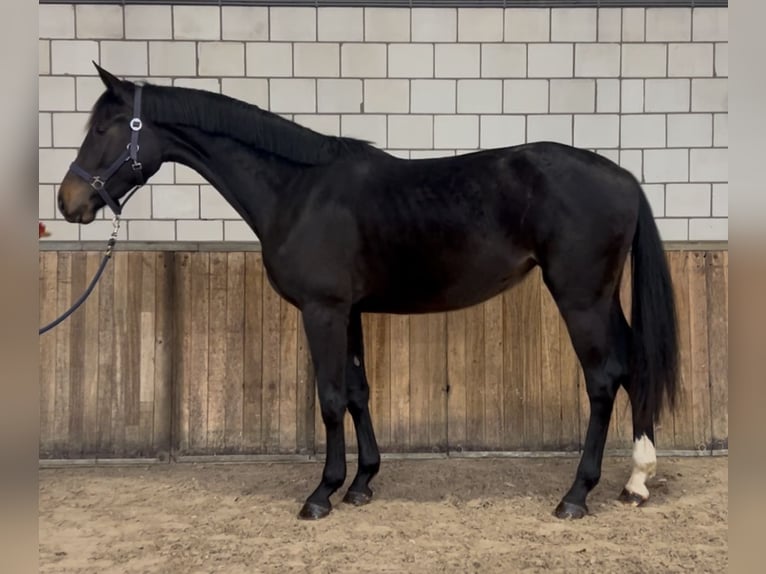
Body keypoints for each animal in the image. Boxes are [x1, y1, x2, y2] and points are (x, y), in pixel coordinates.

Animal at [57, 65, 680, 524]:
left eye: (105, 128)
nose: (69, 202)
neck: (298, 190)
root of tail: (624, 178)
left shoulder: (323, 311)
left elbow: (331, 398)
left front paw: (321, 494)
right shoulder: (349, 312)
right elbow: (358, 392)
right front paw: (361, 483)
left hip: (579, 298)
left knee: (603, 379)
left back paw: (576, 496)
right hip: (601, 298)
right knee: (632, 365)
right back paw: (636, 481)